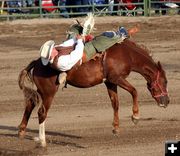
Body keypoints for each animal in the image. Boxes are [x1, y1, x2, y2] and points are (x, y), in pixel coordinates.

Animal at [17, 38, 169, 146]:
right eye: (166, 81)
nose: (166, 101)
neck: (128, 54)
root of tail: (37, 62)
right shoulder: (116, 78)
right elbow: (134, 91)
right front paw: (135, 116)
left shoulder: (110, 82)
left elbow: (115, 103)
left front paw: (115, 128)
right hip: (49, 92)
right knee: (41, 112)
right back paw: (42, 141)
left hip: (41, 91)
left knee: (30, 104)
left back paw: (22, 131)